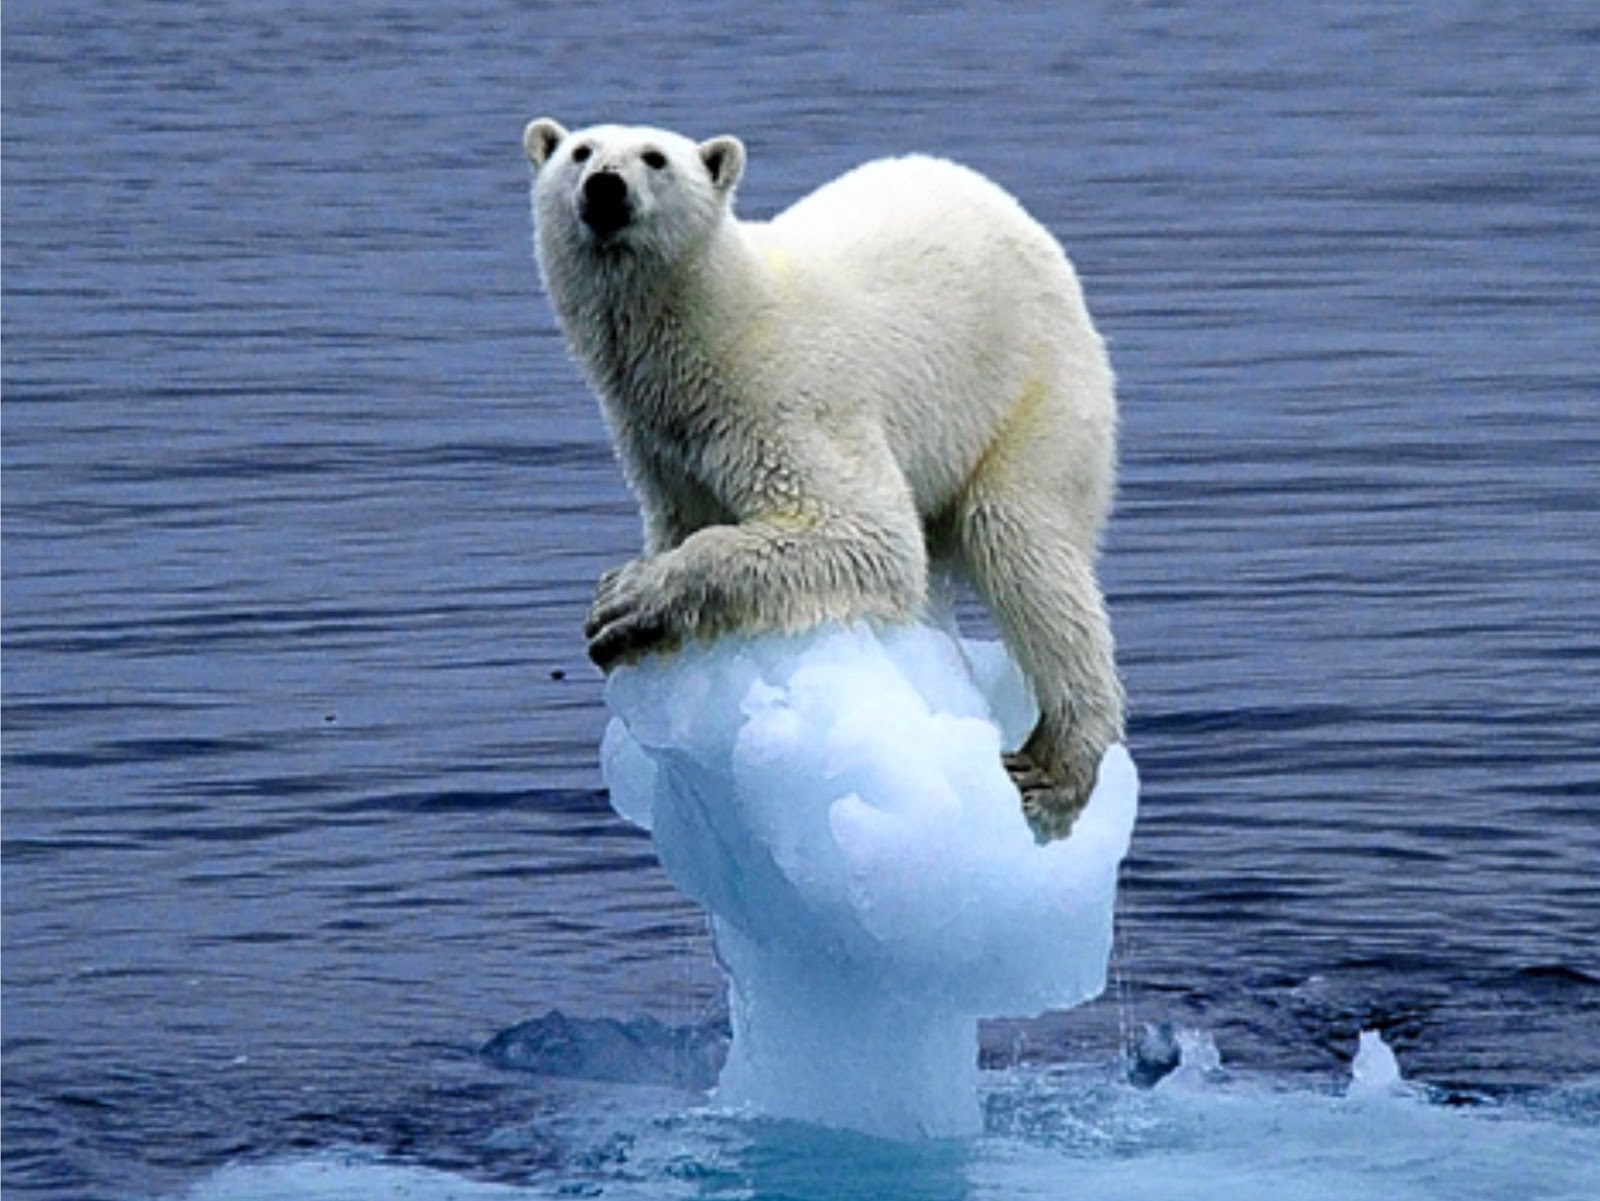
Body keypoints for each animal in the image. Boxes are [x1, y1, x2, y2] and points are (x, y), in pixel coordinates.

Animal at [523, 118, 1123, 839]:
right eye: (580, 151)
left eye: (655, 158)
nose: (605, 187)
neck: (711, 322)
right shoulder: (661, 442)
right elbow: (686, 518)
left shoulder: (780, 400)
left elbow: (864, 531)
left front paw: (624, 600)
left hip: (1032, 386)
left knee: (1026, 549)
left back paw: (1055, 767)